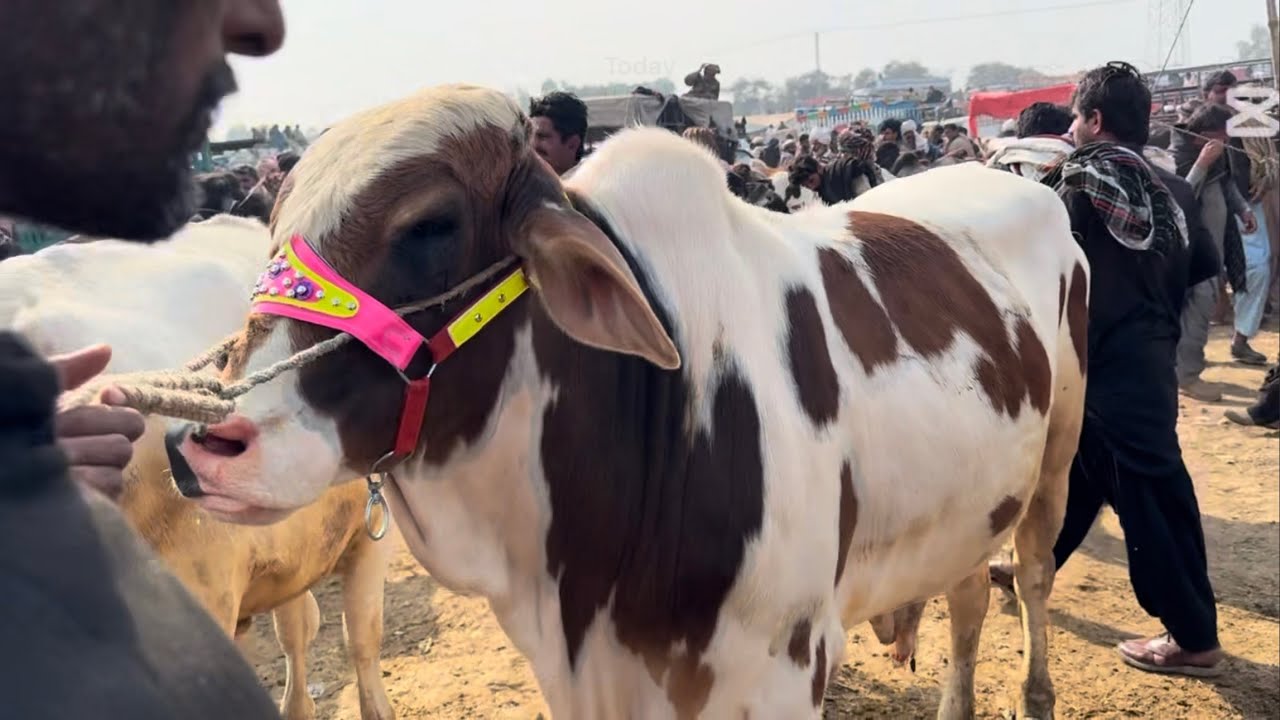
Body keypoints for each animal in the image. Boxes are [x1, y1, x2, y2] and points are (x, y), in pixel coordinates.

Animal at [166, 85, 1088, 720]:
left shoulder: (783, 673)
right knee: (969, 599)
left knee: (1033, 578)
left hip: (1056, 465)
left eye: (429, 225)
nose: (200, 443)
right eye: (272, 221)